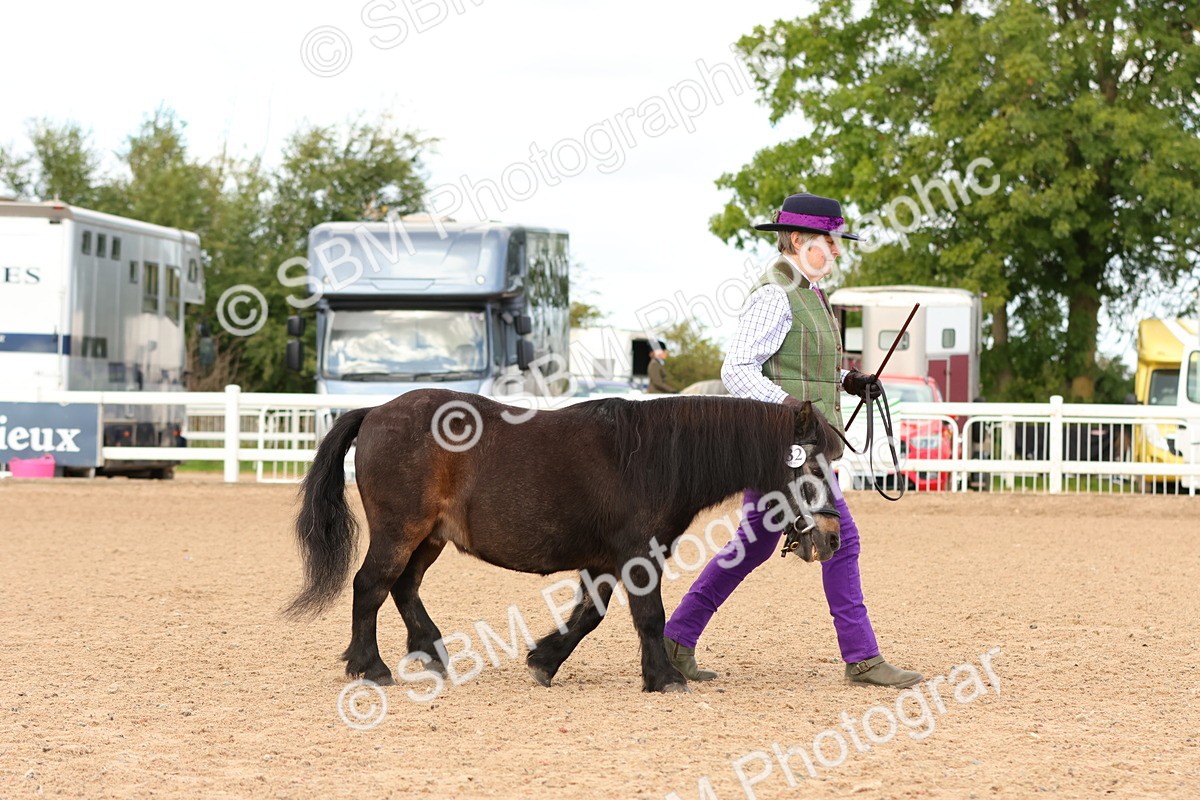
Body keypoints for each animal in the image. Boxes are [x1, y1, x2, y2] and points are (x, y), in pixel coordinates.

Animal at [285, 389, 845, 693]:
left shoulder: (605, 561)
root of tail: (377, 411)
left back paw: (431, 654)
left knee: (403, 588)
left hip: (429, 537)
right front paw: (665, 677)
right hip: (399, 530)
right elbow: (648, 615)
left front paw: (543, 661)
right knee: (370, 586)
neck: (651, 457)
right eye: (814, 466)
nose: (835, 538)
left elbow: (588, 616)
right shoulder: (637, 555)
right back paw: (370, 666)